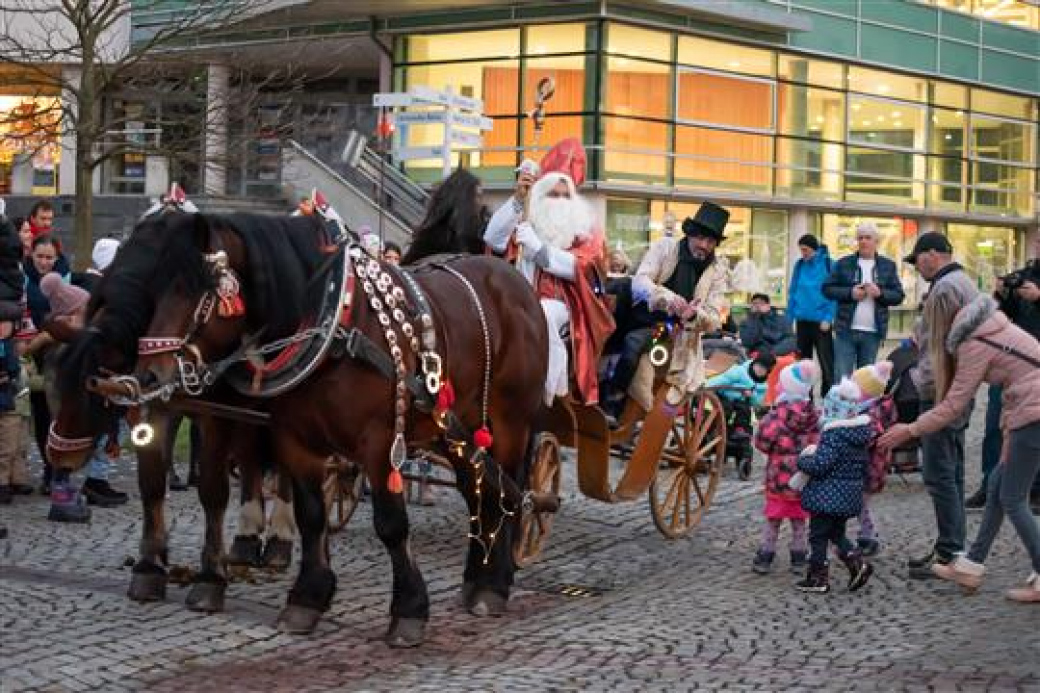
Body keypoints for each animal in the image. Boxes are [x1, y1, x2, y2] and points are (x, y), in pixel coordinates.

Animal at [52, 209, 549, 640]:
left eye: (200, 293)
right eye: (156, 289)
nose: (149, 375)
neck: (332, 328)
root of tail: (513, 282)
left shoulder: (377, 443)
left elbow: (390, 523)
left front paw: (408, 609)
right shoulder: (293, 439)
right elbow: (309, 515)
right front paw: (307, 598)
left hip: (507, 423)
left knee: (510, 495)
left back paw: (495, 583)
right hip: (454, 429)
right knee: (478, 494)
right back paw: (474, 579)